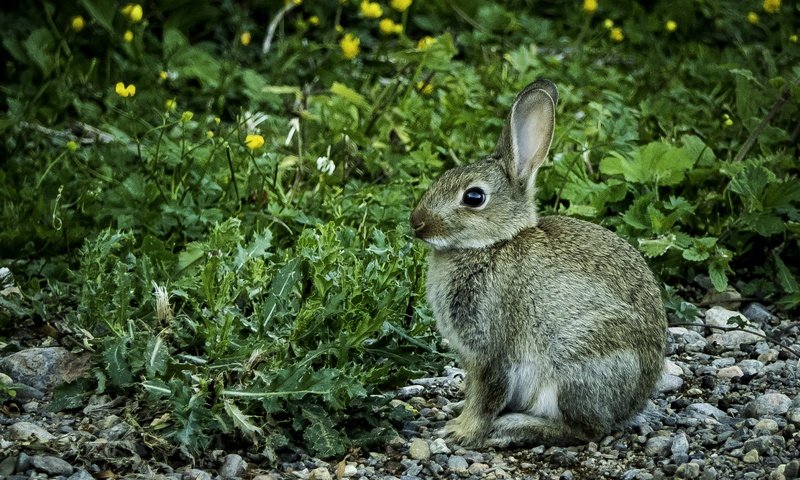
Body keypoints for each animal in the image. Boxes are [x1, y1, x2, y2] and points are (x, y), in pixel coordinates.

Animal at [410, 77, 664, 448]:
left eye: (474, 197)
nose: (417, 223)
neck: (493, 244)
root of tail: (632, 403)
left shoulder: (492, 350)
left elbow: (486, 394)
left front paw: (461, 432)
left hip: (576, 367)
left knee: (586, 430)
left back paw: (513, 428)